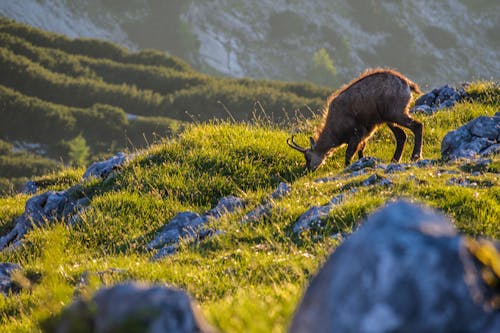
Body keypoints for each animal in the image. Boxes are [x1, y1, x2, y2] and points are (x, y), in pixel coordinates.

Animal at [290, 68, 422, 170]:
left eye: (308, 157)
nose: (308, 170)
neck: (334, 127)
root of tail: (407, 84)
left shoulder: (356, 133)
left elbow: (349, 154)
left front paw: (347, 167)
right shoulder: (365, 133)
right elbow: (361, 151)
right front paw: (362, 163)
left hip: (396, 113)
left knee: (417, 125)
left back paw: (415, 156)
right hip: (389, 119)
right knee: (401, 135)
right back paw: (395, 160)